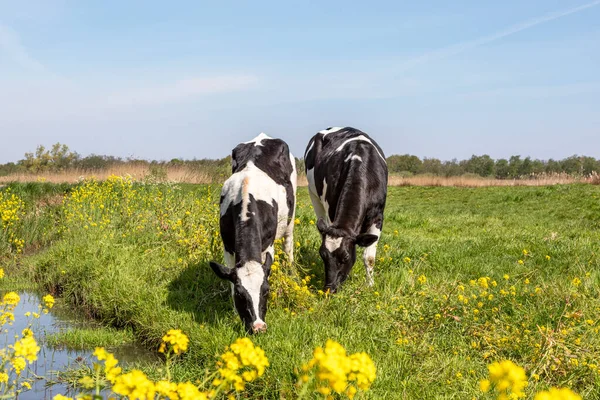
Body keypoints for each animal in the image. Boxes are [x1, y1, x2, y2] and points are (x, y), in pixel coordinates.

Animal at [209, 133, 298, 332]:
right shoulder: (228, 247)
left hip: (291, 215)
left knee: (288, 244)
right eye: (241, 295)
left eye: (266, 291)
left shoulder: (268, 245)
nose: (258, 326)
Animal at [304, 128, 390, 294]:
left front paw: (370, 285)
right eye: (322, 255)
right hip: (314, 195)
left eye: (345, 257)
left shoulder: (378, 217)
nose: (329, 289)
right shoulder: (332, 211)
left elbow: (369, 258)